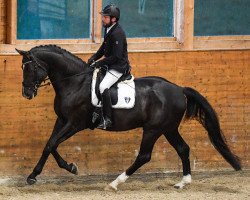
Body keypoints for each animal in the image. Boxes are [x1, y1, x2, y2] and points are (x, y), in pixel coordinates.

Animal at [15, 45, 240, 191]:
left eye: (30, 67)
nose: (26, 93)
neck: (75, 83)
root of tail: (179, 89)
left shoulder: (75, 123)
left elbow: (52, 143)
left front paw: (54, 171)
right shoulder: (62, 120)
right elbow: (50, 145)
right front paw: (53, 171)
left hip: (153, 129)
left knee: (144, 156)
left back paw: (115, 183)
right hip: (168, 128)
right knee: (183, 149)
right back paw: (182, 182)